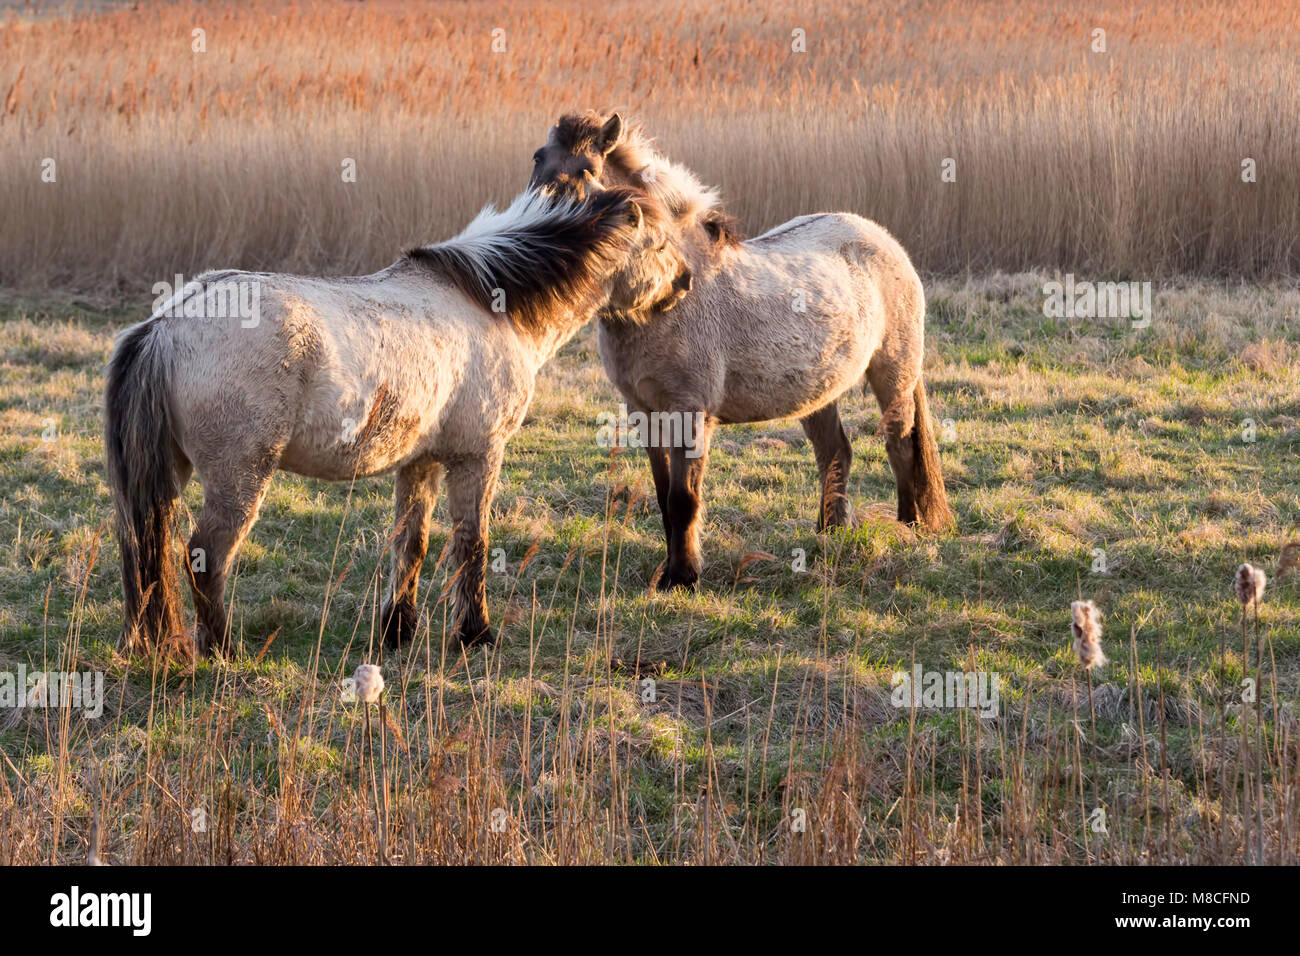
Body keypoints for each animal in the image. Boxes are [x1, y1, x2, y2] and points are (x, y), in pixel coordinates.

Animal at [105, 185, 692, 660]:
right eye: (660, 244)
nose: (685, 282)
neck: (490, 301)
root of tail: (165, 326)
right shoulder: (478, 458)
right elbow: (471, 545)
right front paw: (475, 634)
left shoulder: (420, 462)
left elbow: (412, 545)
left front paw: (396, 631)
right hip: (239, 479)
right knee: (205, 558)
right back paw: (223, 652)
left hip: (172, 476)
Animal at [528, 112, 953, 592]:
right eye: (539, 158)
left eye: (588, 170)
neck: (667, 297)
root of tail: (883, 240)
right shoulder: (645, 413)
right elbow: (663, 496)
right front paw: (672, 571)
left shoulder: (690, 414)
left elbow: (683, 499)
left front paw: (683, 578)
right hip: (818, 393)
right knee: (835, 453)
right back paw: (829, 533)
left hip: (893, 375)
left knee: (901, 445)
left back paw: (908, 527)